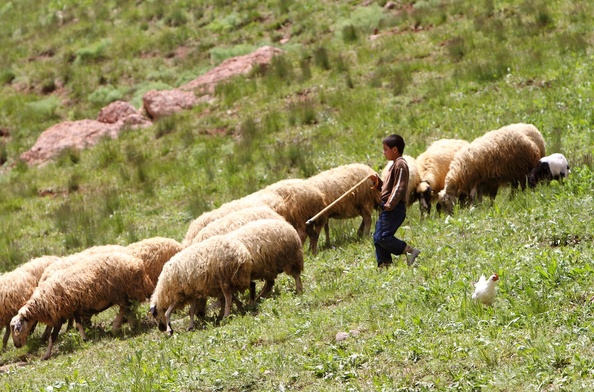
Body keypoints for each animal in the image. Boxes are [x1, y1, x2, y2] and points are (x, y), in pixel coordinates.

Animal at [10, 253, 151, 360]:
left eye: (17, 328)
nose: (16, 345)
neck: (41, 302)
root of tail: (136, 262)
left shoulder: (61, 315)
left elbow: (54, 336)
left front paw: (46, 354)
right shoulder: (71, 309)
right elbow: (76, 325)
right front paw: (84, 338)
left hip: (122, 290)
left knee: (126, 308)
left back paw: (118, 325)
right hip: (123, 292)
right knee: (128, 308)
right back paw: (128, 325)